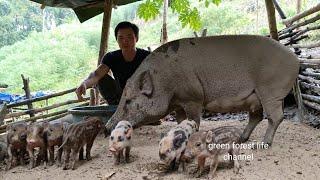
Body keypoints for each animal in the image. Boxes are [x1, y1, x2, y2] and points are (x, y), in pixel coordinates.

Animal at [105, 34, 300, 145]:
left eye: (128, 100)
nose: (107, 128)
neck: (165, 82)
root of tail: (295, 58)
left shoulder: (193, 98)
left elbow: (194, 120)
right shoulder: (178, 104)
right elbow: (180, 121)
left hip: (271, 91)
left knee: (276, 117)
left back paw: (263, 144)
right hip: (256, 98)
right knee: (256, 117)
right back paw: (241, 139)